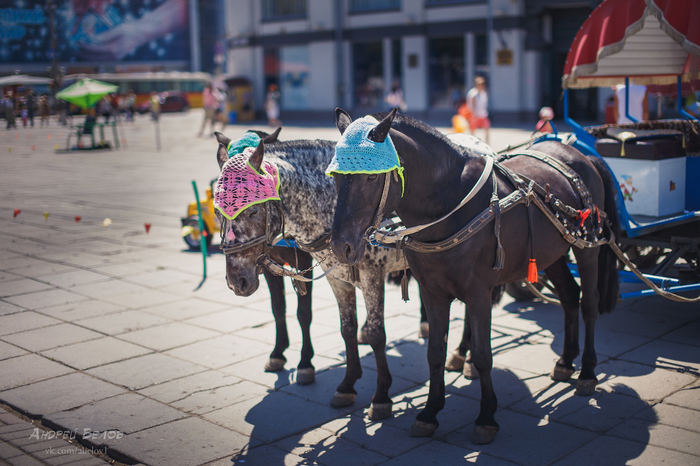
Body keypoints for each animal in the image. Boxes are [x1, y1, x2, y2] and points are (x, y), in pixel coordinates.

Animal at [328, 109, 616, 444]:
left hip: (586, 245)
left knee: (588, 303)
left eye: (372, 176)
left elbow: (482, 355)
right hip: (553, 252)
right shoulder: (432, 291)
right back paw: (566, 361)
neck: (449, 203)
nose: (341, 245)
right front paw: (429, 412)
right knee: (569, 297)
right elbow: (434, 352)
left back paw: (587, 372)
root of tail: (578, 152)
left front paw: (486, 416)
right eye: (335, 177)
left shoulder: (479, 292)